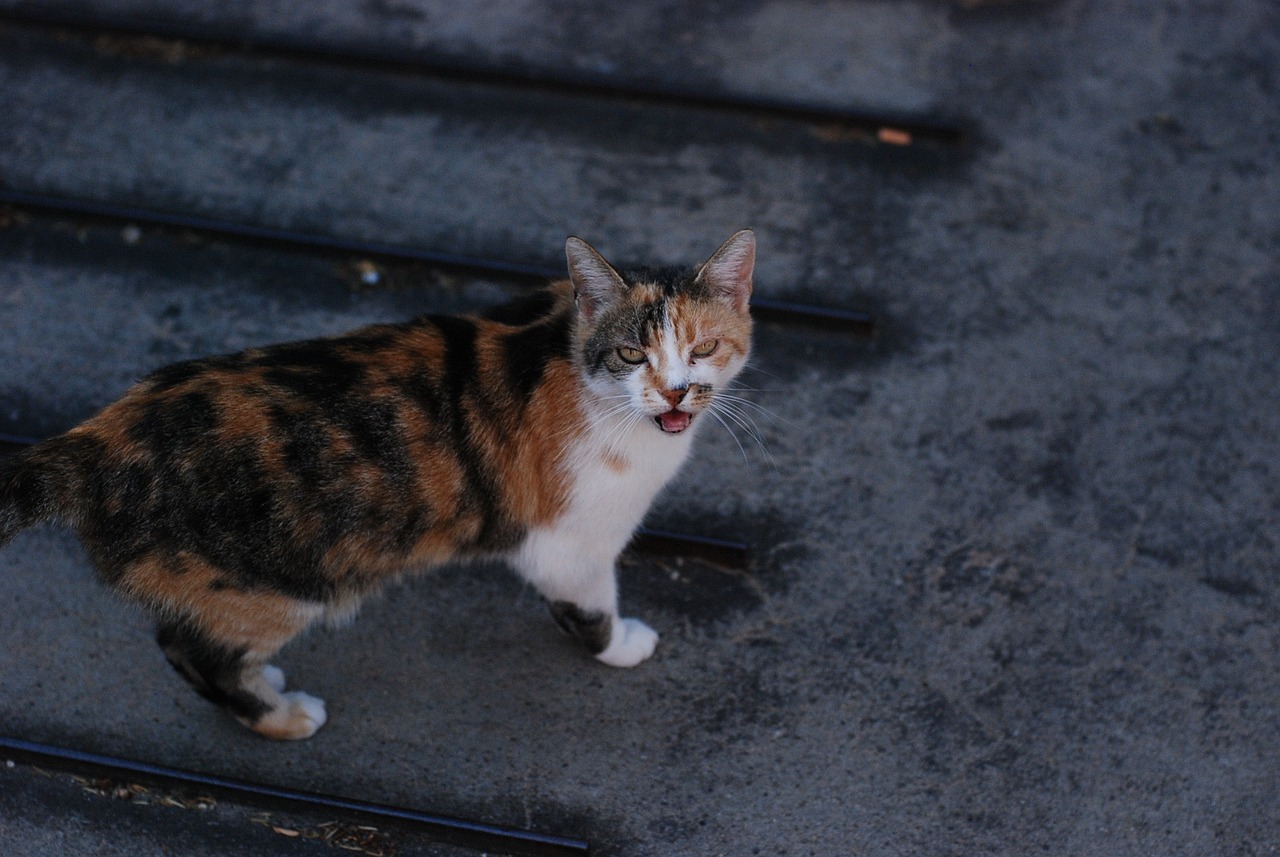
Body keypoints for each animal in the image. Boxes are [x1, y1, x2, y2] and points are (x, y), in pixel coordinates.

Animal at [0, 231, 752, 741]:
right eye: (630, 353)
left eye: (704, 348)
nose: (676, 390)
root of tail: (100, 436)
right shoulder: (569, 543)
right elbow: (590, 607)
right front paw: (623, 643)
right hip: (275, 584)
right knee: (189, 649)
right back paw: (281, 715)